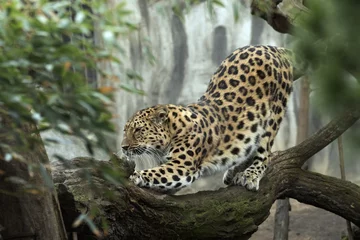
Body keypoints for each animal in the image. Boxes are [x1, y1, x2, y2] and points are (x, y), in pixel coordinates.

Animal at [121, 45, 296, 194]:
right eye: (125, 131)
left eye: (138, 130)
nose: (123, 147)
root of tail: (269, 47)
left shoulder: (181, 166)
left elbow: (155, 173)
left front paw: (136, 175)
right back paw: (233, 172)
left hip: (274, 115)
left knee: (264, 151)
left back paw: (250, 176)